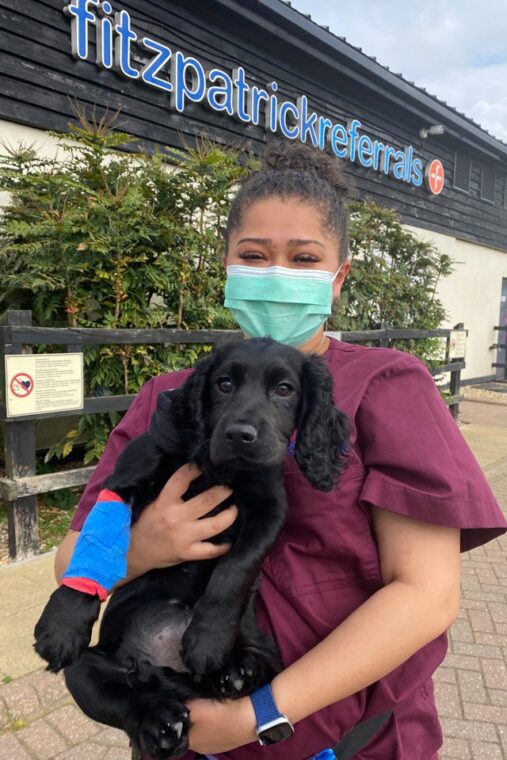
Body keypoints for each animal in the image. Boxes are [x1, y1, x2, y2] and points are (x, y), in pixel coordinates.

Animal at [32, 340, 350, 760]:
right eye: (224, 384)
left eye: (285, 390)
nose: (240, 435)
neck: (221, 469)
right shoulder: (127, 478)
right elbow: (96, 539)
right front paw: (62, 624)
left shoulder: (269, 510)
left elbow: (235, 569)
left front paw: (208, 639)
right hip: (86, 669)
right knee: (129, 701)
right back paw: (162, 723)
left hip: (265, 647)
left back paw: (235, 670)